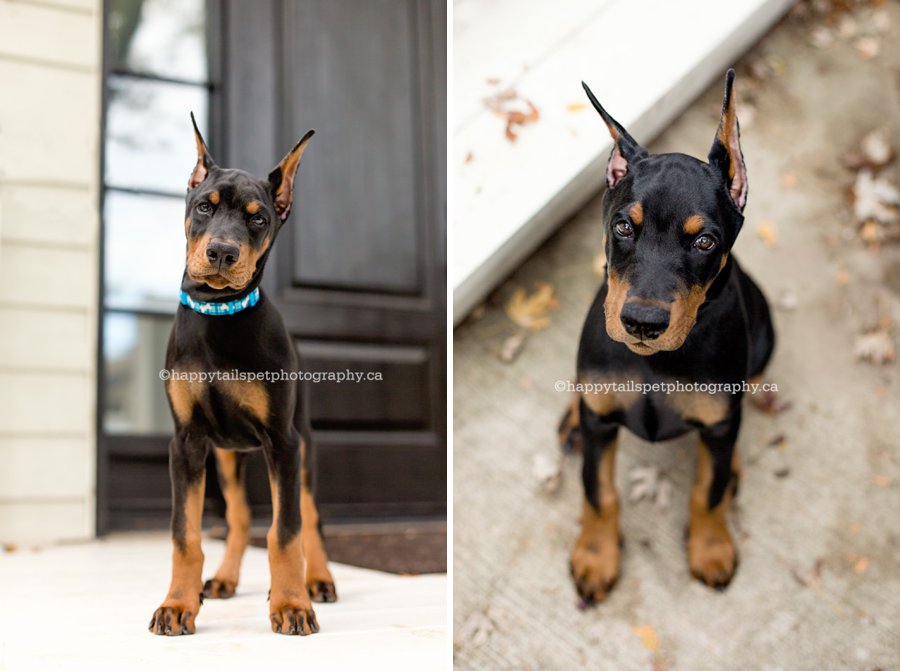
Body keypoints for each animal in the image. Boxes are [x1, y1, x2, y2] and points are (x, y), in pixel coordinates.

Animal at [149, 117, 336, 640]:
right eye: (204, 207)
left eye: (258, 220)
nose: (221, 252)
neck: (219, 315)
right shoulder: (186, 442)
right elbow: (185, 533)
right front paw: (177, 604)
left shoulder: (283, 442)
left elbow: (286, 530)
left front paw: (291, 604)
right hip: (227, 456)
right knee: (237, 515)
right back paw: (224, 579)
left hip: (305, 443)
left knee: (310, 515)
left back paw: (318, 579)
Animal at [556, 71, 772, 608]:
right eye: (622, 227)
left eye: (704, 241)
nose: (642, 322)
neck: (654, 360)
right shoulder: (601, 423)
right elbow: (598, 492)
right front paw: (596, 556)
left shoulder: (718, 421)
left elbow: (708, 492)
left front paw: (712, 548)